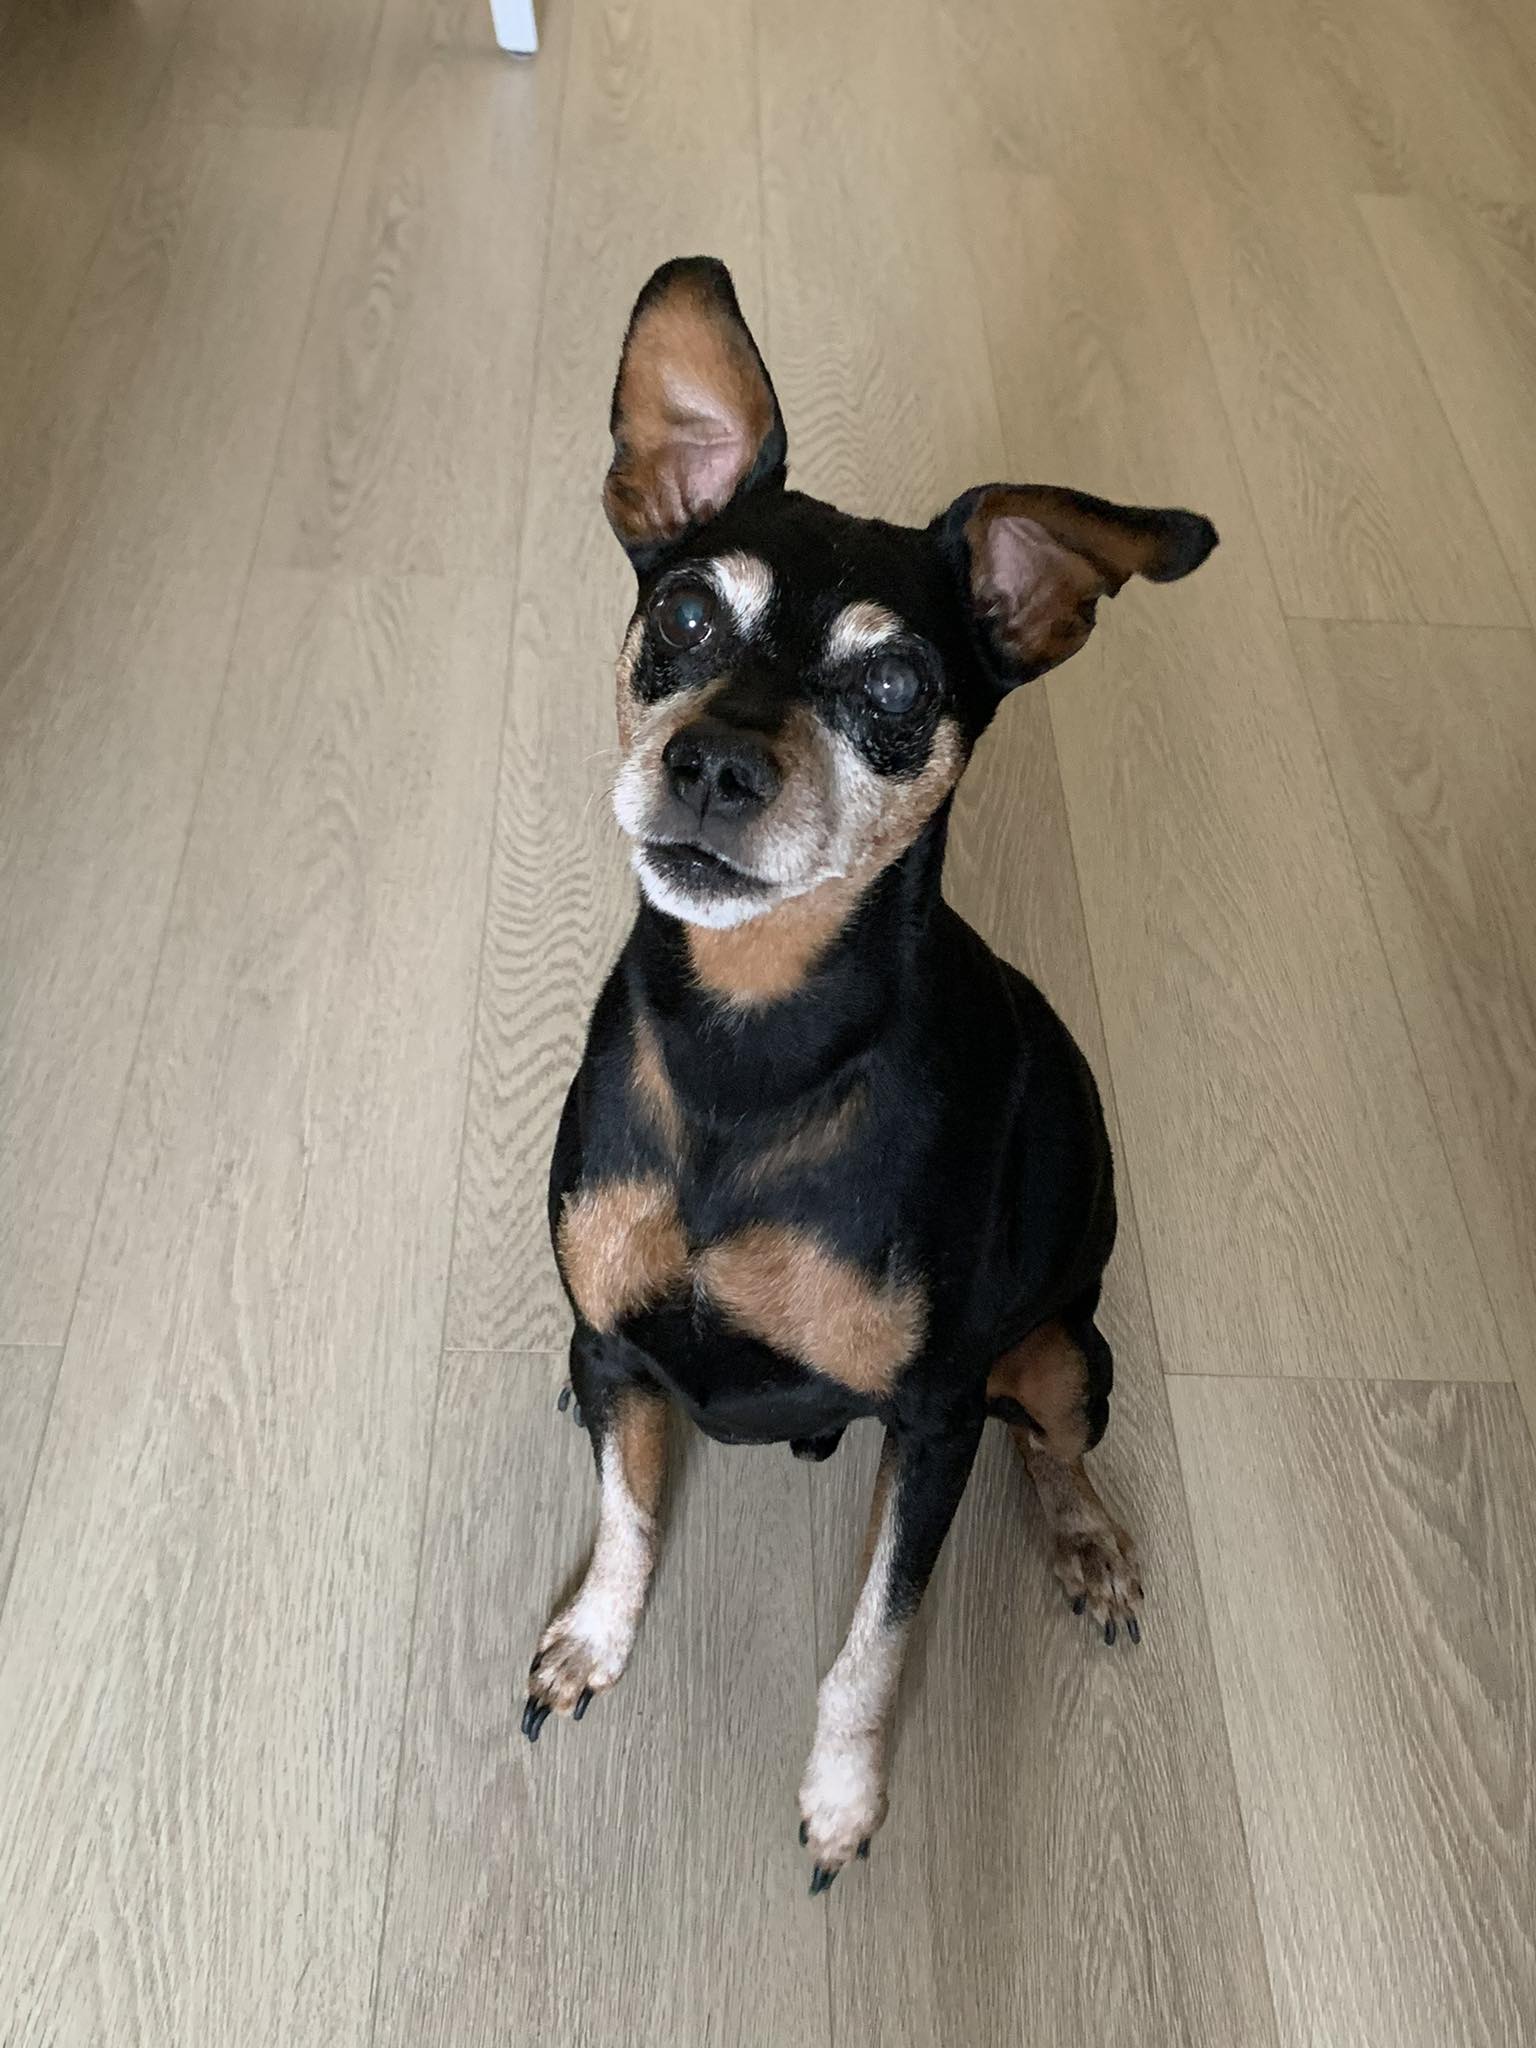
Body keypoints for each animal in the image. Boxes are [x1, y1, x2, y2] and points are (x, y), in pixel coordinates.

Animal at [523, 257, 1218, 1893]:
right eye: (684, 612)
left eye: (897, 684)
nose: (713, 762)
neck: (752, 1040)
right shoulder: (613, 1334)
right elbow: (630, 1511)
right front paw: (593, 1634)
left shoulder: (937, 1420)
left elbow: (875, 1638)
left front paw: (844, 1798)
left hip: (1063, 1353)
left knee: (1061, 1452)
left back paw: (1090, 1547)